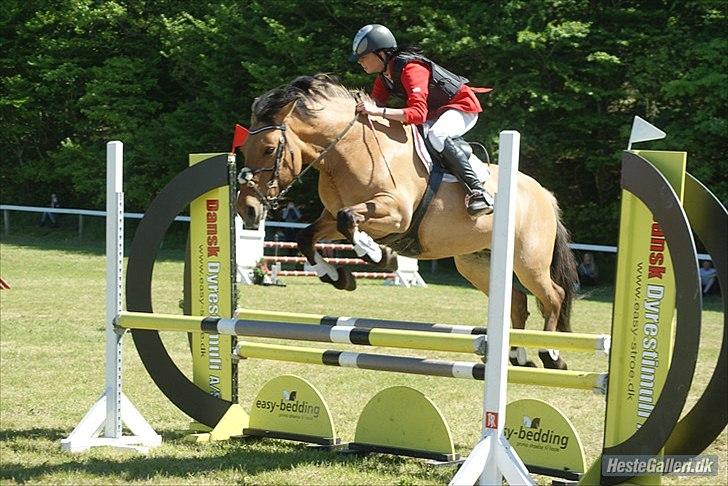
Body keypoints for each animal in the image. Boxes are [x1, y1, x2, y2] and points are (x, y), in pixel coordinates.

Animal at [239, 73, 580, 368]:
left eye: (269, 149)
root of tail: (543, 193)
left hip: (528, 260)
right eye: (242, 149)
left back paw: (551, 355)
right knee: (518, 303)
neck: (347, 151)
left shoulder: (395, 214)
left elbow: (350, 221)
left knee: (553, 296)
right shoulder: (331, 218)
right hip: (476, 263)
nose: (247, 210)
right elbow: (307, 237)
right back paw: (518, 356)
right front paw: (337, 276)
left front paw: (379, 255)